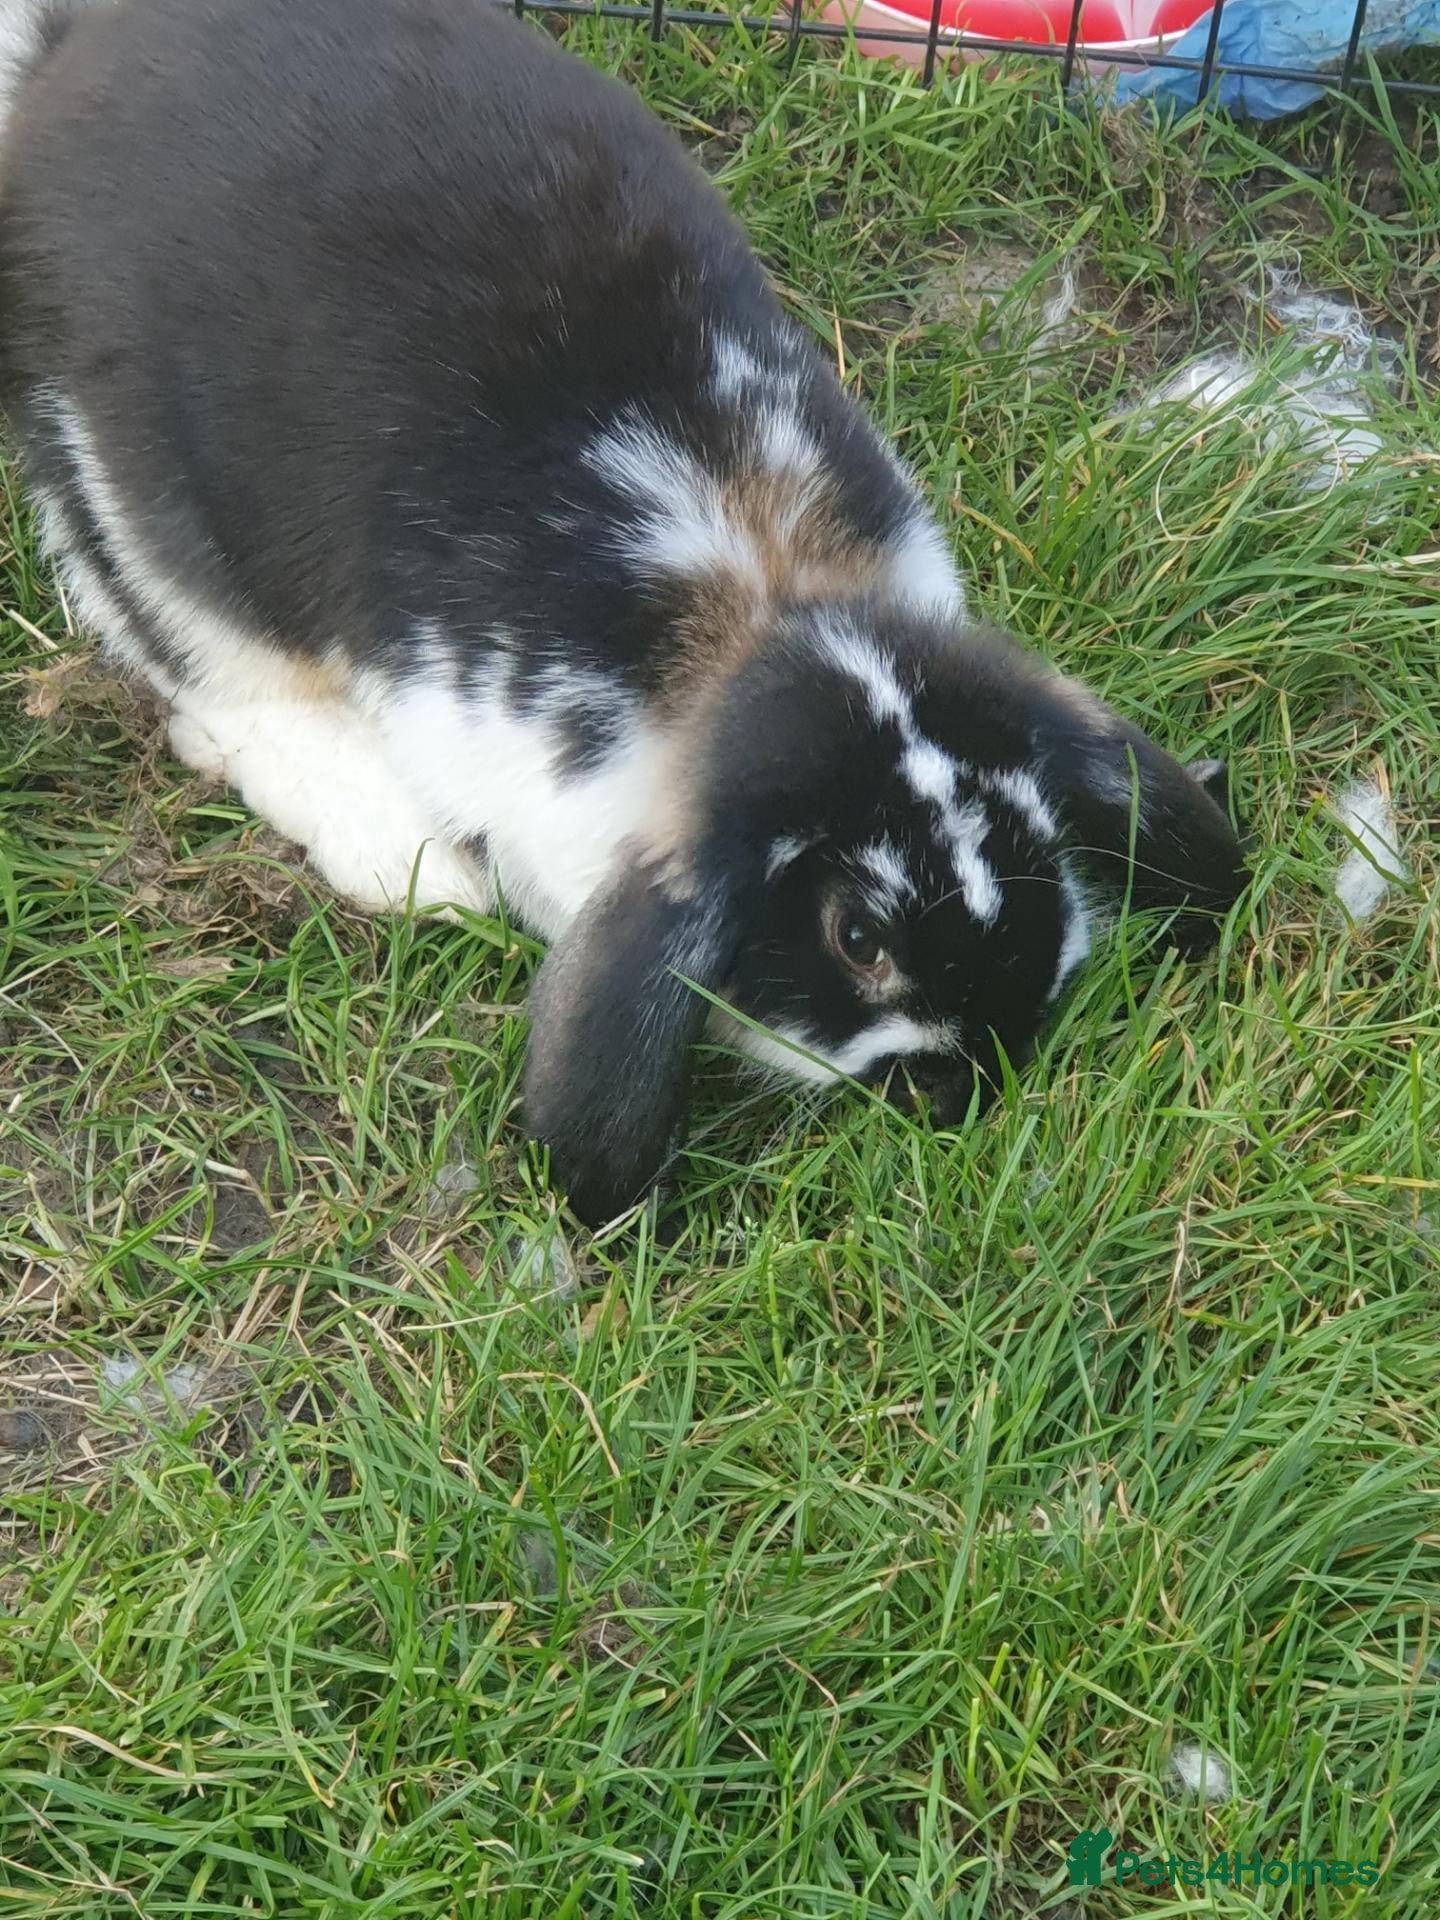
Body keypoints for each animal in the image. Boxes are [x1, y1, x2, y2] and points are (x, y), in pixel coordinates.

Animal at [0, 0, 1245, 1225]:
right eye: (857, 938)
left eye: (1037, 847)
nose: (970, 1078)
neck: (767, 618)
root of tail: (65, 56)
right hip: (129, 486)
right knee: (204, 674)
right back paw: (409, 862)